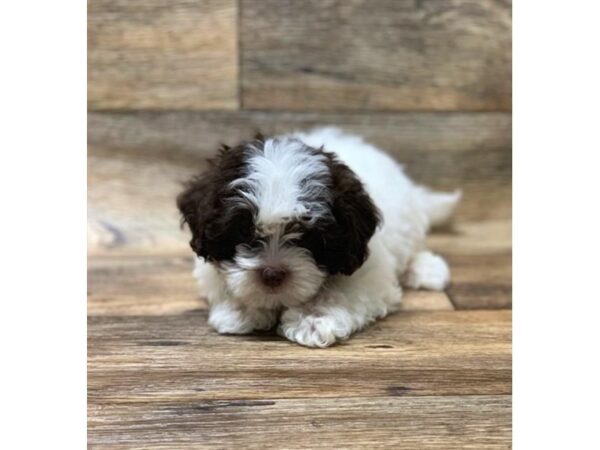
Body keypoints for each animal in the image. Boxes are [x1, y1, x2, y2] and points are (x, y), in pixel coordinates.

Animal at [177, 126, 460, 348]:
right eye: (243, 231)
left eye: (308, 237)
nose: (272, 273)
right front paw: (240, 308)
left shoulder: (367, 268)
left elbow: (341, 290)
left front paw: (313, 319)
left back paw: (425, 269)